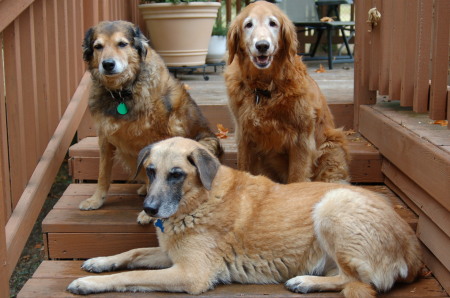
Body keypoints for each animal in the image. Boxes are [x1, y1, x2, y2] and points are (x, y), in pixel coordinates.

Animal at [67, 138, 422, 298]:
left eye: (176, 174)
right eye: (151, 171)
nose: (150, 209)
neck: (200, 199)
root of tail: (412, 251)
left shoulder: (190, 273)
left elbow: (133, 275)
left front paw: (90, 283)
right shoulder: (170, 255)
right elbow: (132, 253)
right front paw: (100, 261)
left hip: (332, 206)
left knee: (356, 281)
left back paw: (305, 281)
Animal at [80, 20, 223, 224]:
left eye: (122, 44)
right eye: (98, 46)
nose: (107, 64)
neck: (123, 93)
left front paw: (147, 214)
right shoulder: (105, 137)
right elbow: (103, 174)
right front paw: (96, 200)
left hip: (205, 143)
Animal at [225, 1, 352, 184]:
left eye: (273, 23)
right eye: (248, 24)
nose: (262, 45)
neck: (265, 88)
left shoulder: (301, 139)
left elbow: (297, 177)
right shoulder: (244, 136)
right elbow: (244, 169)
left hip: (332, 147)